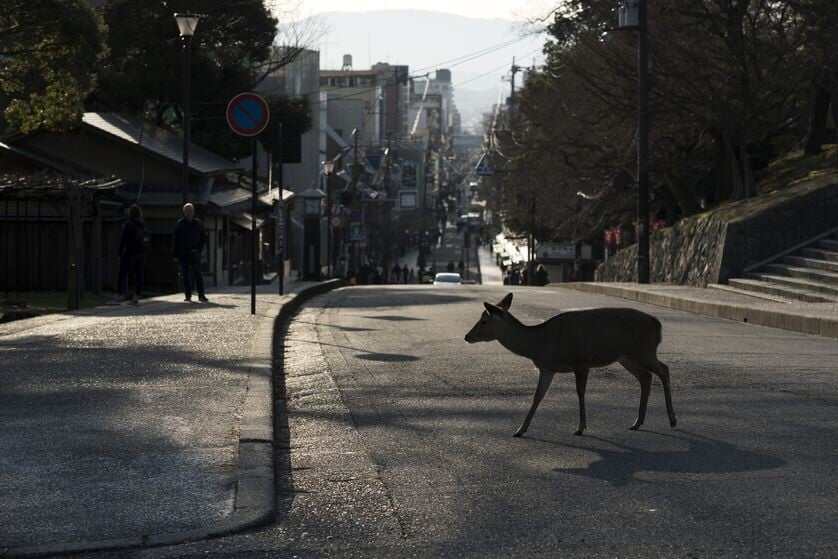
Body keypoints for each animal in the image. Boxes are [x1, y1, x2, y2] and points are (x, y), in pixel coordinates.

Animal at [466, 294, 676, 438]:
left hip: (644, 350)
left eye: (483, 321)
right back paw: (637, 422)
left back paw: (672, 419)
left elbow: (580, 393)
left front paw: (581, 427)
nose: (467, 336)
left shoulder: (581, 362)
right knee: (646, 377)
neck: (541, 345)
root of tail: (658, 325)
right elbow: (537, 396)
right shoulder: (547, 368)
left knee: (664, 370)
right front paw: (520, 430)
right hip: (626, 357)